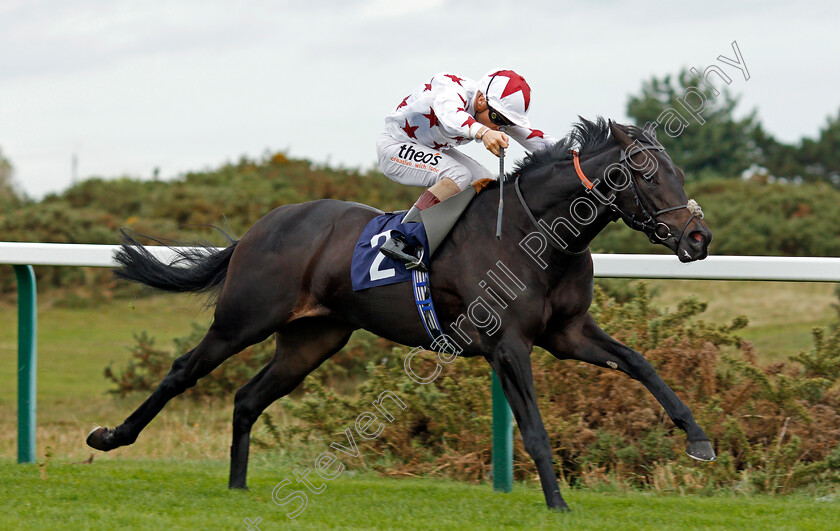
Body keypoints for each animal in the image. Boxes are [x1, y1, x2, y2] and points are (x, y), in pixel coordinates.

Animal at [85, 119, 716, 512]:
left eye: (680, 174)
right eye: (649, 174)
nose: (698, 237)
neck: (534, 232)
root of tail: (261, 227)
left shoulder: (568, 333)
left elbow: (640, 363)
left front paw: (699, 440)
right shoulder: (509, 344)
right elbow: (534, 428)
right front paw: (557, 502)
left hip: (312, 339)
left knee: (247, 397)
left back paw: (238, 487)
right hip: (243, 319)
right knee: (182, 371)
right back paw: (111, 436)